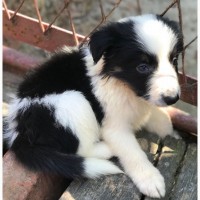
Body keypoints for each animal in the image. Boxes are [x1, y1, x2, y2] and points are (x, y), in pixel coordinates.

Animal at [4, 14, 183, 198]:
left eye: (174, 60)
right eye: (142, 67)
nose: (172, 99)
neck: (123, 85)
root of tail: (19, 131)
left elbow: (162, 120)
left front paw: (172, 134)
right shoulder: (114, 127)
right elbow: (133, 152)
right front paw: (150, 179)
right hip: (73, 102)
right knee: (81, 149)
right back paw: (107, 149)